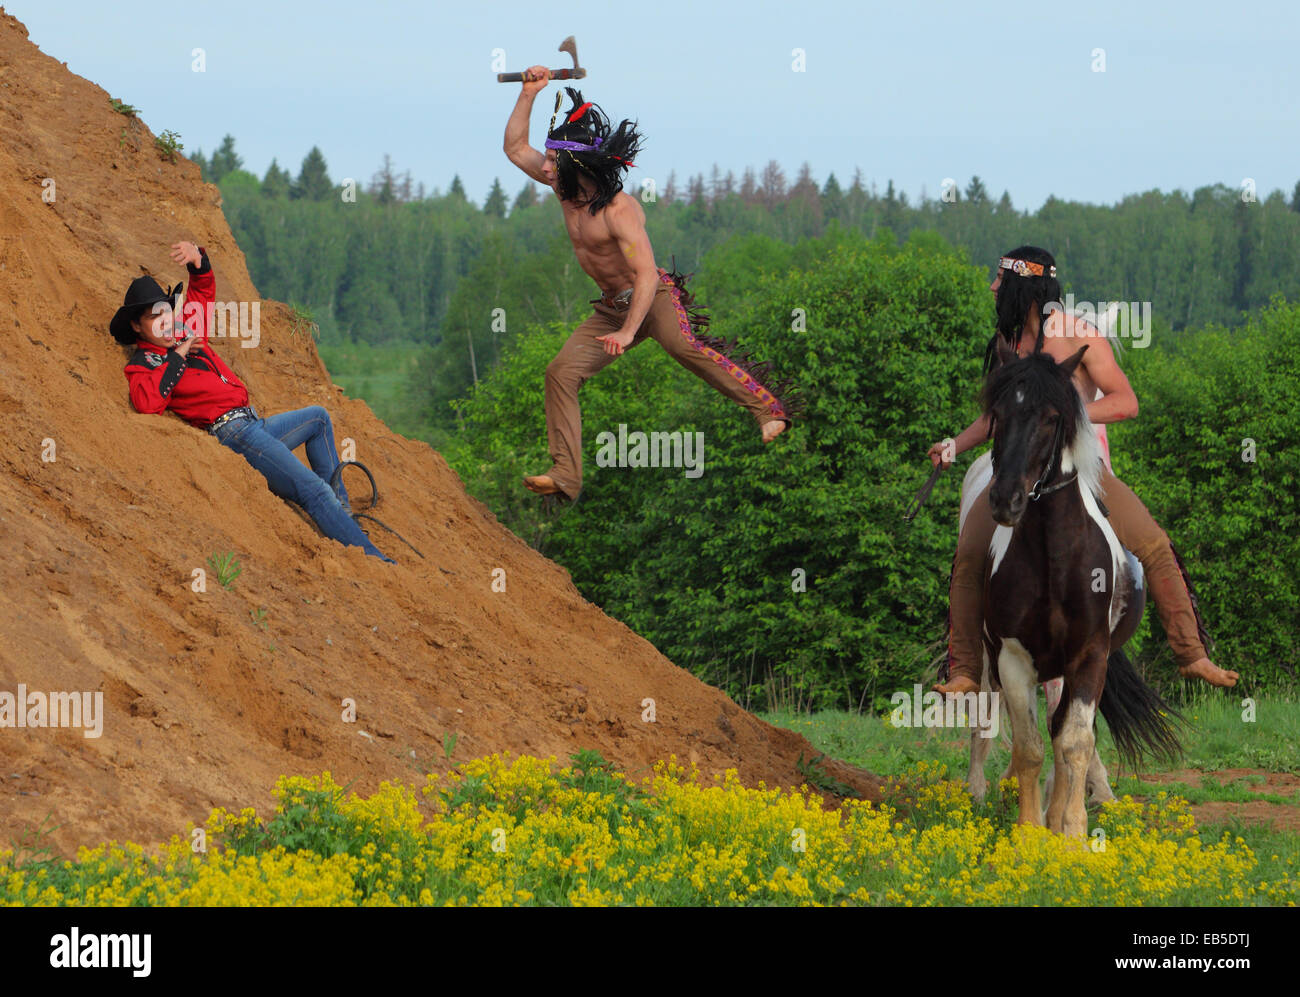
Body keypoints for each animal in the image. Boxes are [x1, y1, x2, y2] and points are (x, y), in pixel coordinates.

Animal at [977, 337, 1180, 837]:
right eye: (998, 414)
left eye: (1052, 418)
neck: (1054, 558)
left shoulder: (1089, 655)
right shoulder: (1013, 659)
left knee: (1064, 731)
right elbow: (1029, 748)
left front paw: (1070, 833)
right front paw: (1030, 833)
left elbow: (1073, 741)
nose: (1005, 499)